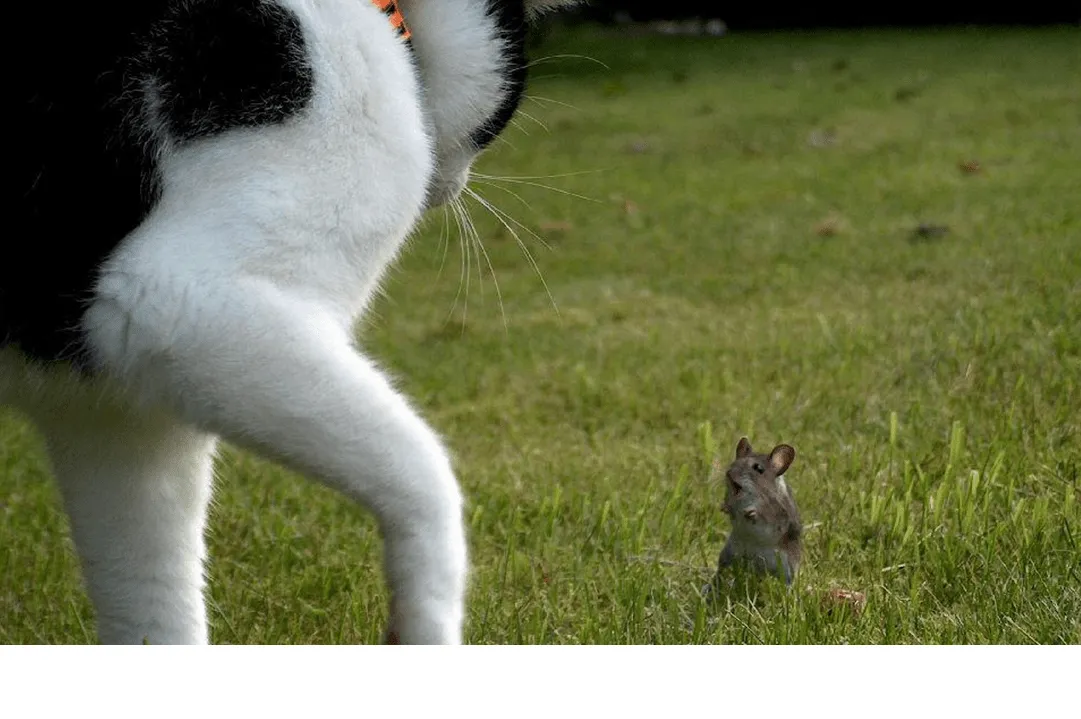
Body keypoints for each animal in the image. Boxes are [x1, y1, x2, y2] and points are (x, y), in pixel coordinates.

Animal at [2, 0, 583, 644]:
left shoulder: (119, 421)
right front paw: (428, 625)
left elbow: (156, 608)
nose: (450, 189)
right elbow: (427, 476)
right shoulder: (175, 306)